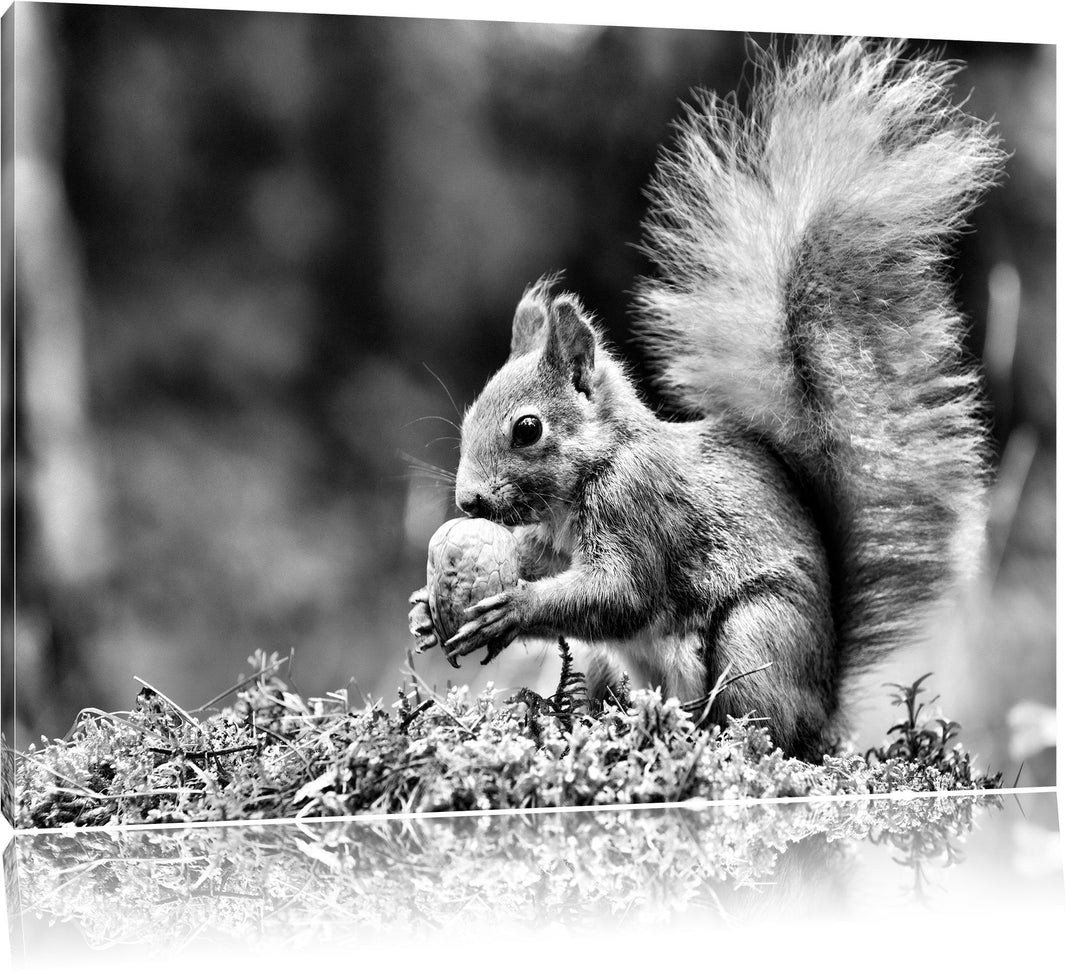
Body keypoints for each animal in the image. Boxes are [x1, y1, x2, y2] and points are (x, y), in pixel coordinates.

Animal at [408, 37, 1005, 760]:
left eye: (527, 429)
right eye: (470, 414)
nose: (468, 501)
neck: (600, 465)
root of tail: (823, 706)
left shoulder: (640, 509)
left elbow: (622, 595)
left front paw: (513, 608)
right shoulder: (554, 542)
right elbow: (543, 563)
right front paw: (423, 607)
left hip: (757, 635)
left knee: (759, 724)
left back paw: (708, 735)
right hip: (626, 664)